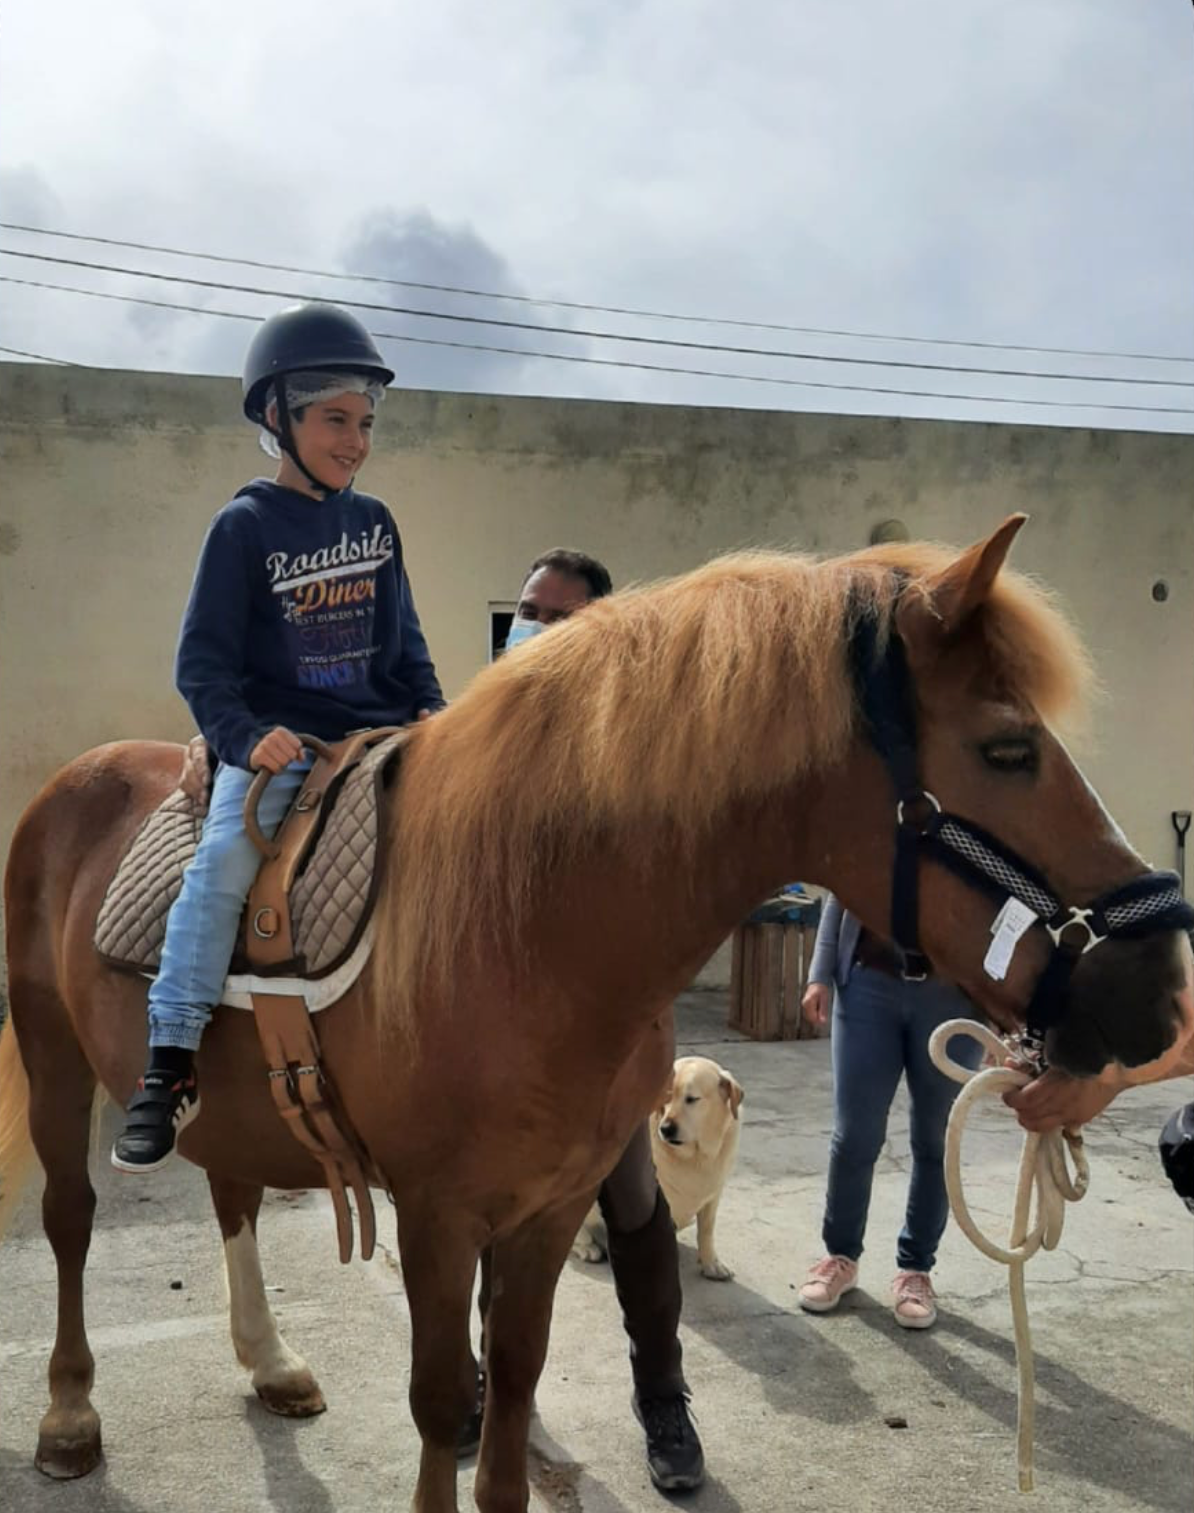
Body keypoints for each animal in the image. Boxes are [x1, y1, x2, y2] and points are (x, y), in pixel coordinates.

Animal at [2, 516, 1191, 1513]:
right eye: (1008, 749)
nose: (1161, 985)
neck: (523, 926)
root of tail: (79, 779)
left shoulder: (547, 1207)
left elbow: (515, 1393)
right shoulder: (439, 1215)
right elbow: (446, 1401)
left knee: (234, 1196)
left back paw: (271, 1361)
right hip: (57, 1059)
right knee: (70, 1218)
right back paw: (69, 1415)